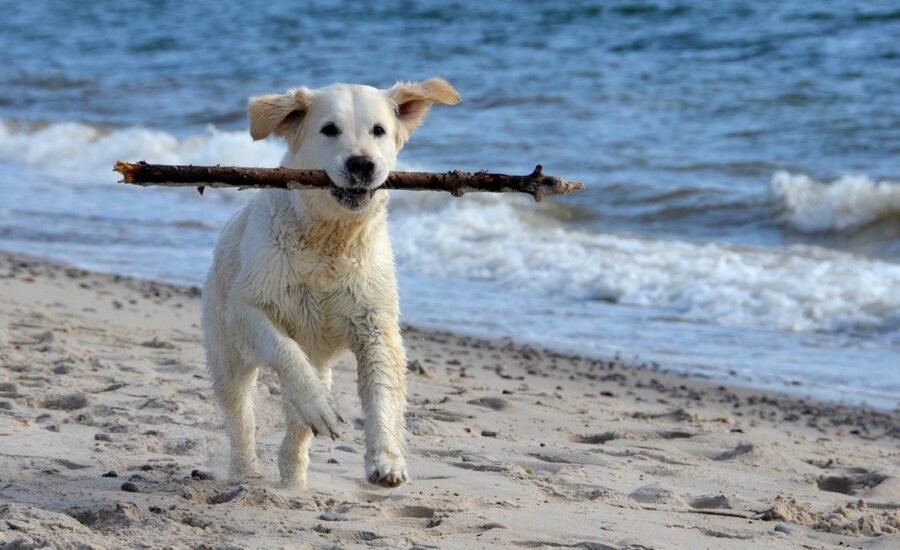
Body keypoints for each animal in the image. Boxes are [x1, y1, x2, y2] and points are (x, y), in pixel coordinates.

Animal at [201, 78, 460, 492]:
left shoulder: (374, 325)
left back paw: (293, 475)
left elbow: (382, 389)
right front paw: (319, 406)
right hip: (225, 348)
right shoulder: (246, 309)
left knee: (296, 425)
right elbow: (284, 349)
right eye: (329, 129)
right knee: (239, 412)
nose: (362, 164)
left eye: (378, 130)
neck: (330, 239)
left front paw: (386, 461)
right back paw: (246, 469)